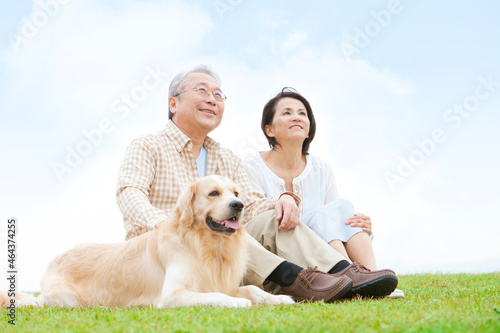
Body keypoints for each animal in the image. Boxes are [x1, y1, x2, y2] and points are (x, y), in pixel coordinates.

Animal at [0, 175, 292, 308]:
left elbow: (252, 289)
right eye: (213, 193)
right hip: (67, 300)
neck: (206, 245)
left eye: (236, 193)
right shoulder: (173, 295)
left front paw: (277, 298)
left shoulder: (224, 282)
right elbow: (217, 296)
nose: (238, 205)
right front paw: (238, 304)